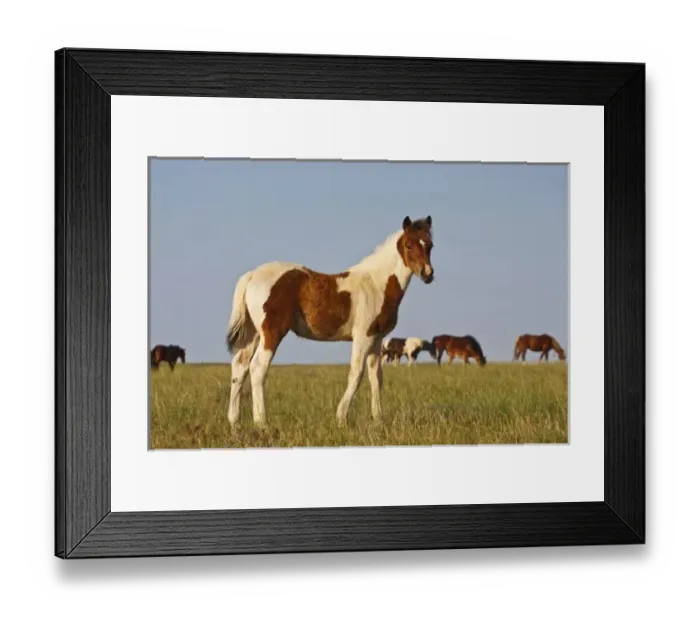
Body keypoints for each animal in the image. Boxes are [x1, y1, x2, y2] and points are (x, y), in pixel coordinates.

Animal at [224, 215, 435, 428]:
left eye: (430, 245)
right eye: (408, 245)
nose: (427, 273)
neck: (376, 285)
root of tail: (252, 275)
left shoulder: (377, 339)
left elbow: (376, 377)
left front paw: (378, 419)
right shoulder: (363, 337)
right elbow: (356, 374)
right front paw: (341, 417)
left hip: (253, 333)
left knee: (240, 366)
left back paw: (234, 422)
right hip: (272, 332)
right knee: (258, 367)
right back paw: (261, 422)